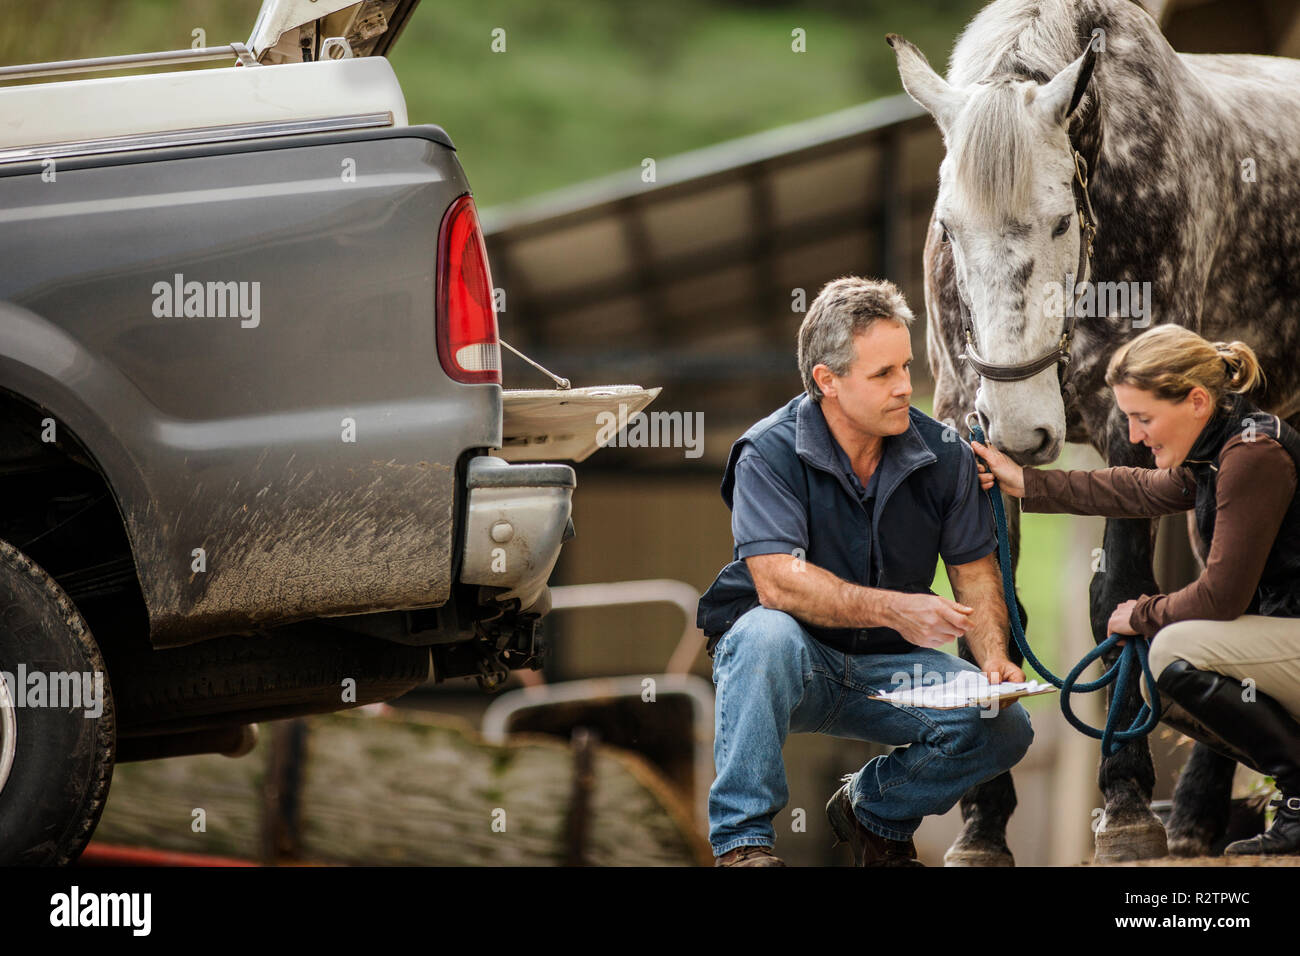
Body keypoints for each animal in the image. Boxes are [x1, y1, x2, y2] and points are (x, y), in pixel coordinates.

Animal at [889, 0, 1300, 864]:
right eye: (949, 225)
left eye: (1055, 224)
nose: (1018, 430)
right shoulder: (965, 429)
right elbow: (990, 600)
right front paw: (982, 824)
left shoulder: (1130, 434)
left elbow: (1120, 596)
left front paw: (1128, 807)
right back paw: (1198, 817)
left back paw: (1195, 815)